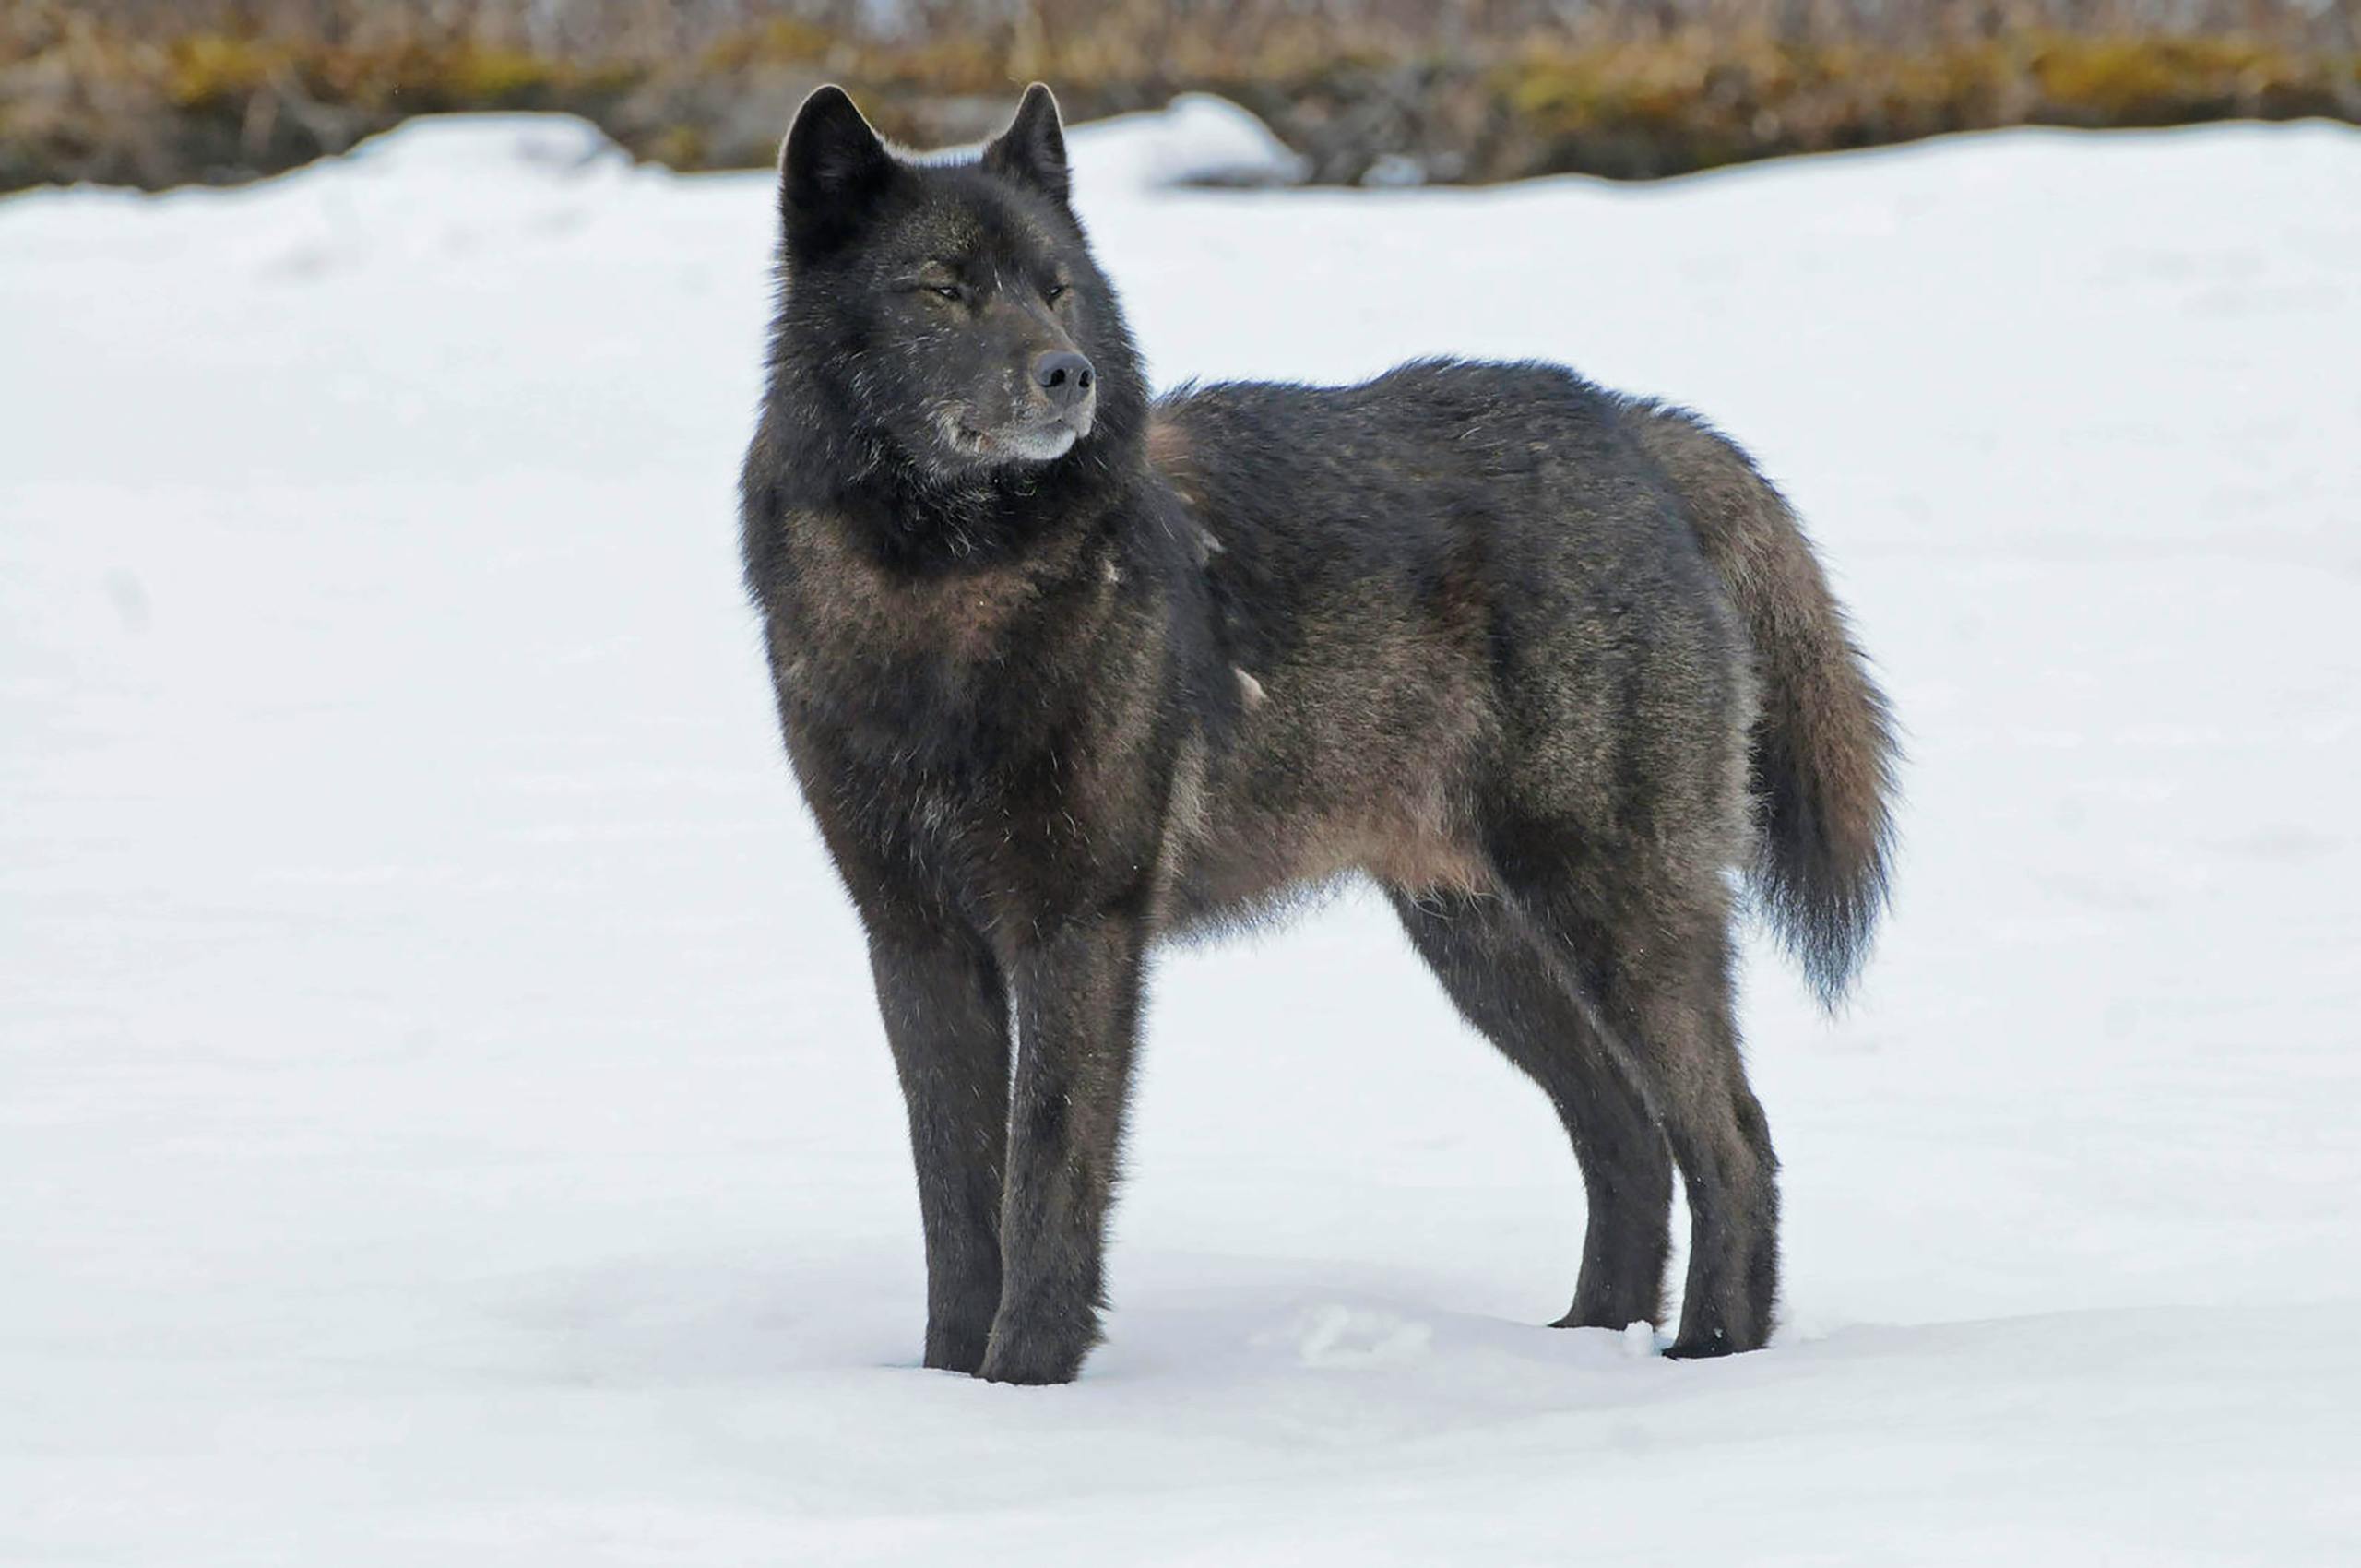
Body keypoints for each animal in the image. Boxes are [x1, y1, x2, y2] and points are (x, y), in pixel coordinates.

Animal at [739, 83, 1897, 1384]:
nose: (1066, 375)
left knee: (1732, 1135)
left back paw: (1708, 1355)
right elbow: (955, 1196)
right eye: (941, 287)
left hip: (1611, 909)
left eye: (1055, 287)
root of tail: (1633, 427)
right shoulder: (915, 937)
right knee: (1626, 1137)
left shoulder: (1077, 928)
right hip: (1480, 940)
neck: (946, 601)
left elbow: (1044, 1180)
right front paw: (945, 1389)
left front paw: (1027, 1382)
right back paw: (1584, 1344)